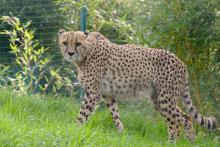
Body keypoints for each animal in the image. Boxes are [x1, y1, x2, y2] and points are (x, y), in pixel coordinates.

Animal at [57, 29, 217, 143]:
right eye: (65, 43)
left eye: (78, 44)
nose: (70, 53)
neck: (86, 53)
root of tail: (182, 62)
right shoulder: (107, 94)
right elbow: (115, 116)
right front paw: (121, 134)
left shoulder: (92, 93)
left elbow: (82, 115)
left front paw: (73, 131)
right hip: (158, 99)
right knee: (185, 118)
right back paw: (191, 141)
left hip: (166, 99)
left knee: (174, 123)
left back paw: (171, 143)